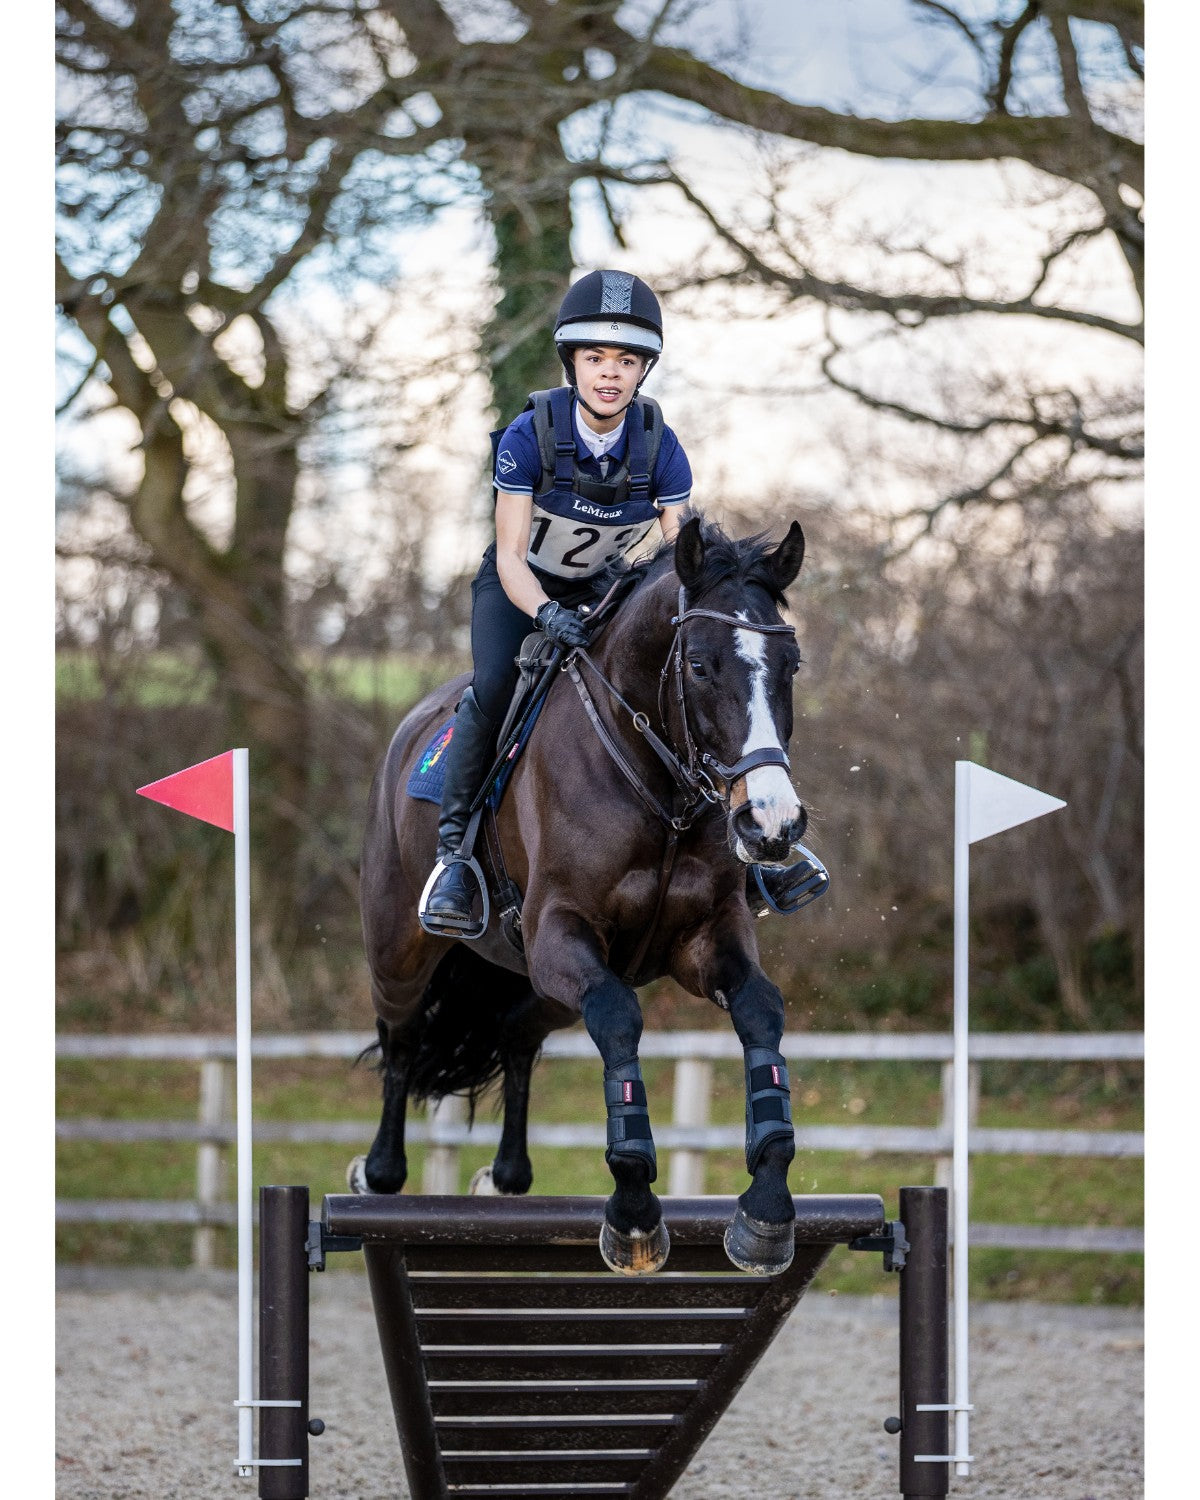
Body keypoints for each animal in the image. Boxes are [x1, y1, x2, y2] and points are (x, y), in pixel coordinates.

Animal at [353, 514, 810, 1275]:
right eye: (699, 665)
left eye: (790, 666)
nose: (771, 824)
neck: (658, 785)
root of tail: (410, 731)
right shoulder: (561, 932)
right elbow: (621, 1021)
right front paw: (633, 1208)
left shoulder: (704, 936)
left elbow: (760, 1010)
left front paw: (767, 1207)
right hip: (402, 950)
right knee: (403, 1036)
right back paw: (380, 1174)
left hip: (540, 986)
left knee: (516, 1037)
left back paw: (506, 1179)